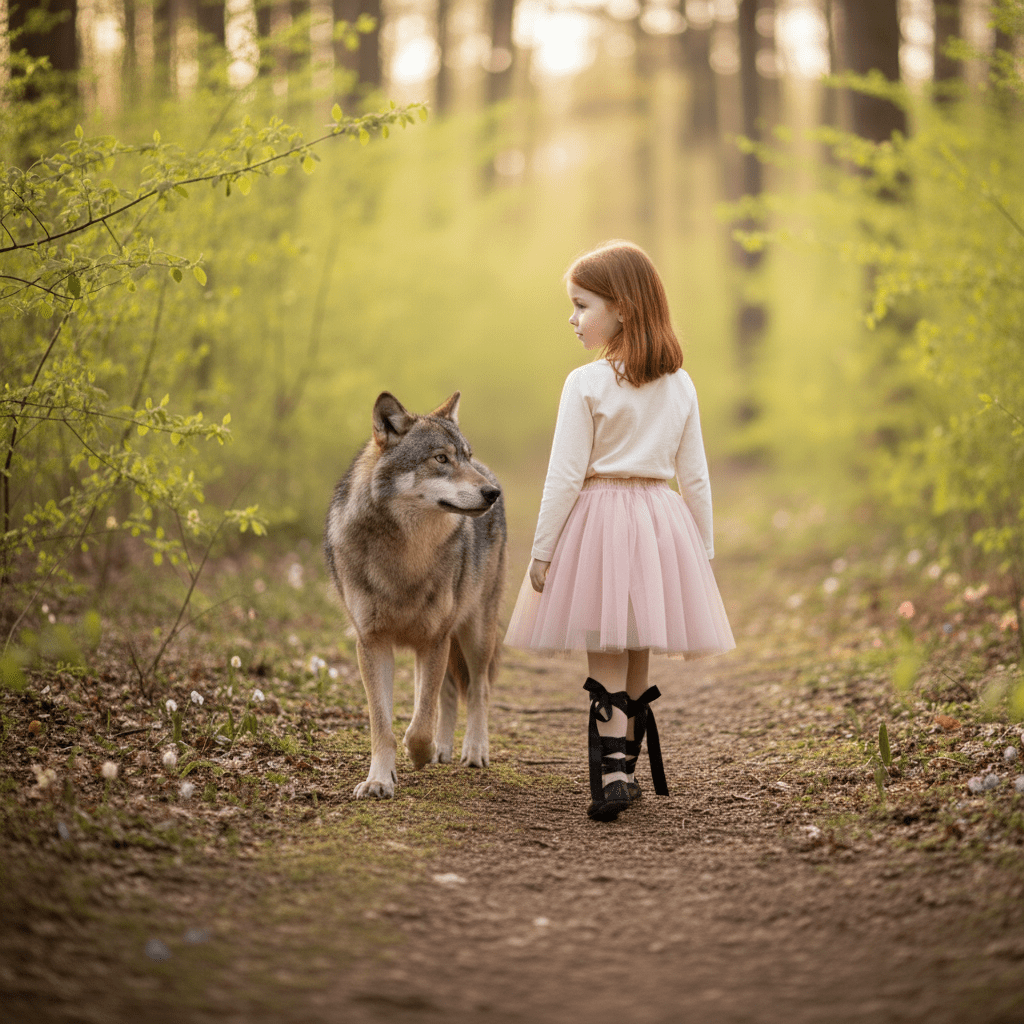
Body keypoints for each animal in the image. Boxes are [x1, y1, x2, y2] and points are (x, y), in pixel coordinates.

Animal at [324, 391, 506, 799]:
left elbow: (419, 725)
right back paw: (443, 749)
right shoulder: (372, 643)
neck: (405, 557)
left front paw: (419, 754)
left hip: (474, 634)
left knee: (479, 689)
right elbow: (383, 724)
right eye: (440, 459)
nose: (492, 493)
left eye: (464, 456)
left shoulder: (434, 639)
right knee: (448, 691)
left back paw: (474, 751)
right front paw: (379, 780)